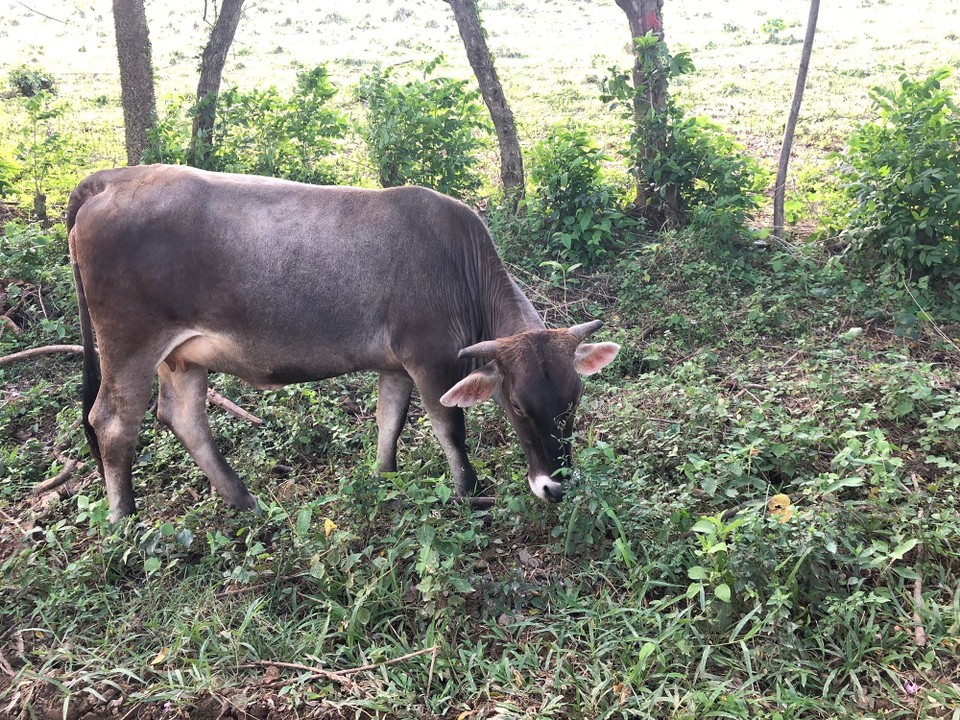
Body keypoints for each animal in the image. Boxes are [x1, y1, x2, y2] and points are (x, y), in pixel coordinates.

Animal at [67, 166, 624, 520]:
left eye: (574, 399)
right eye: (519, 406)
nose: (556, 485)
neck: (457, 262)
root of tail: (111, 179)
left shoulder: (397, 364)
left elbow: (389, 421)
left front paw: (383, 479)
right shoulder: (430, 358)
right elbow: (451, 429)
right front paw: (469, 495)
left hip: (180, 356)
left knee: (183, 417)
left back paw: (247, 503)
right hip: (130, 343)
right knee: (112, 423)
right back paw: (124, 520)